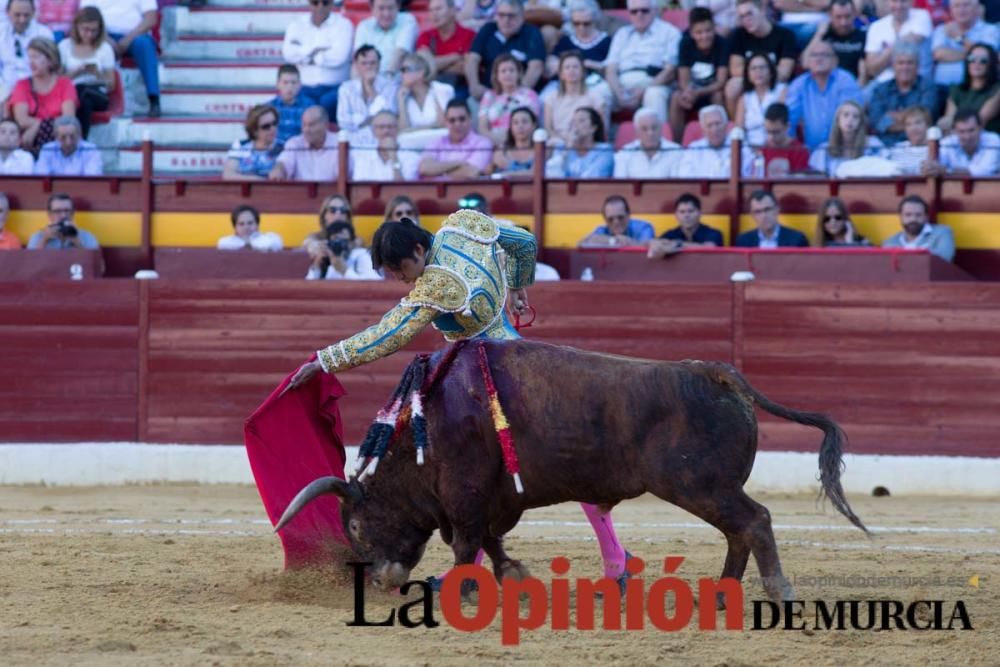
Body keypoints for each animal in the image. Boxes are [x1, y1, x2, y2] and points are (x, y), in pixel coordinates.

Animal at [276, 342, 868, 604]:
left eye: (356, 525)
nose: (380, 578)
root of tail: (718, 373)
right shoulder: (494, 498)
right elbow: (490, 541)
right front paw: (512, 575)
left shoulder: (465, 493)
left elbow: (467, 542)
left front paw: (456, 589)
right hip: (710, 489)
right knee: (739, 530)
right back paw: (720, 592)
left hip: (700, 485)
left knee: (755, 521)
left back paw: (777, 592)